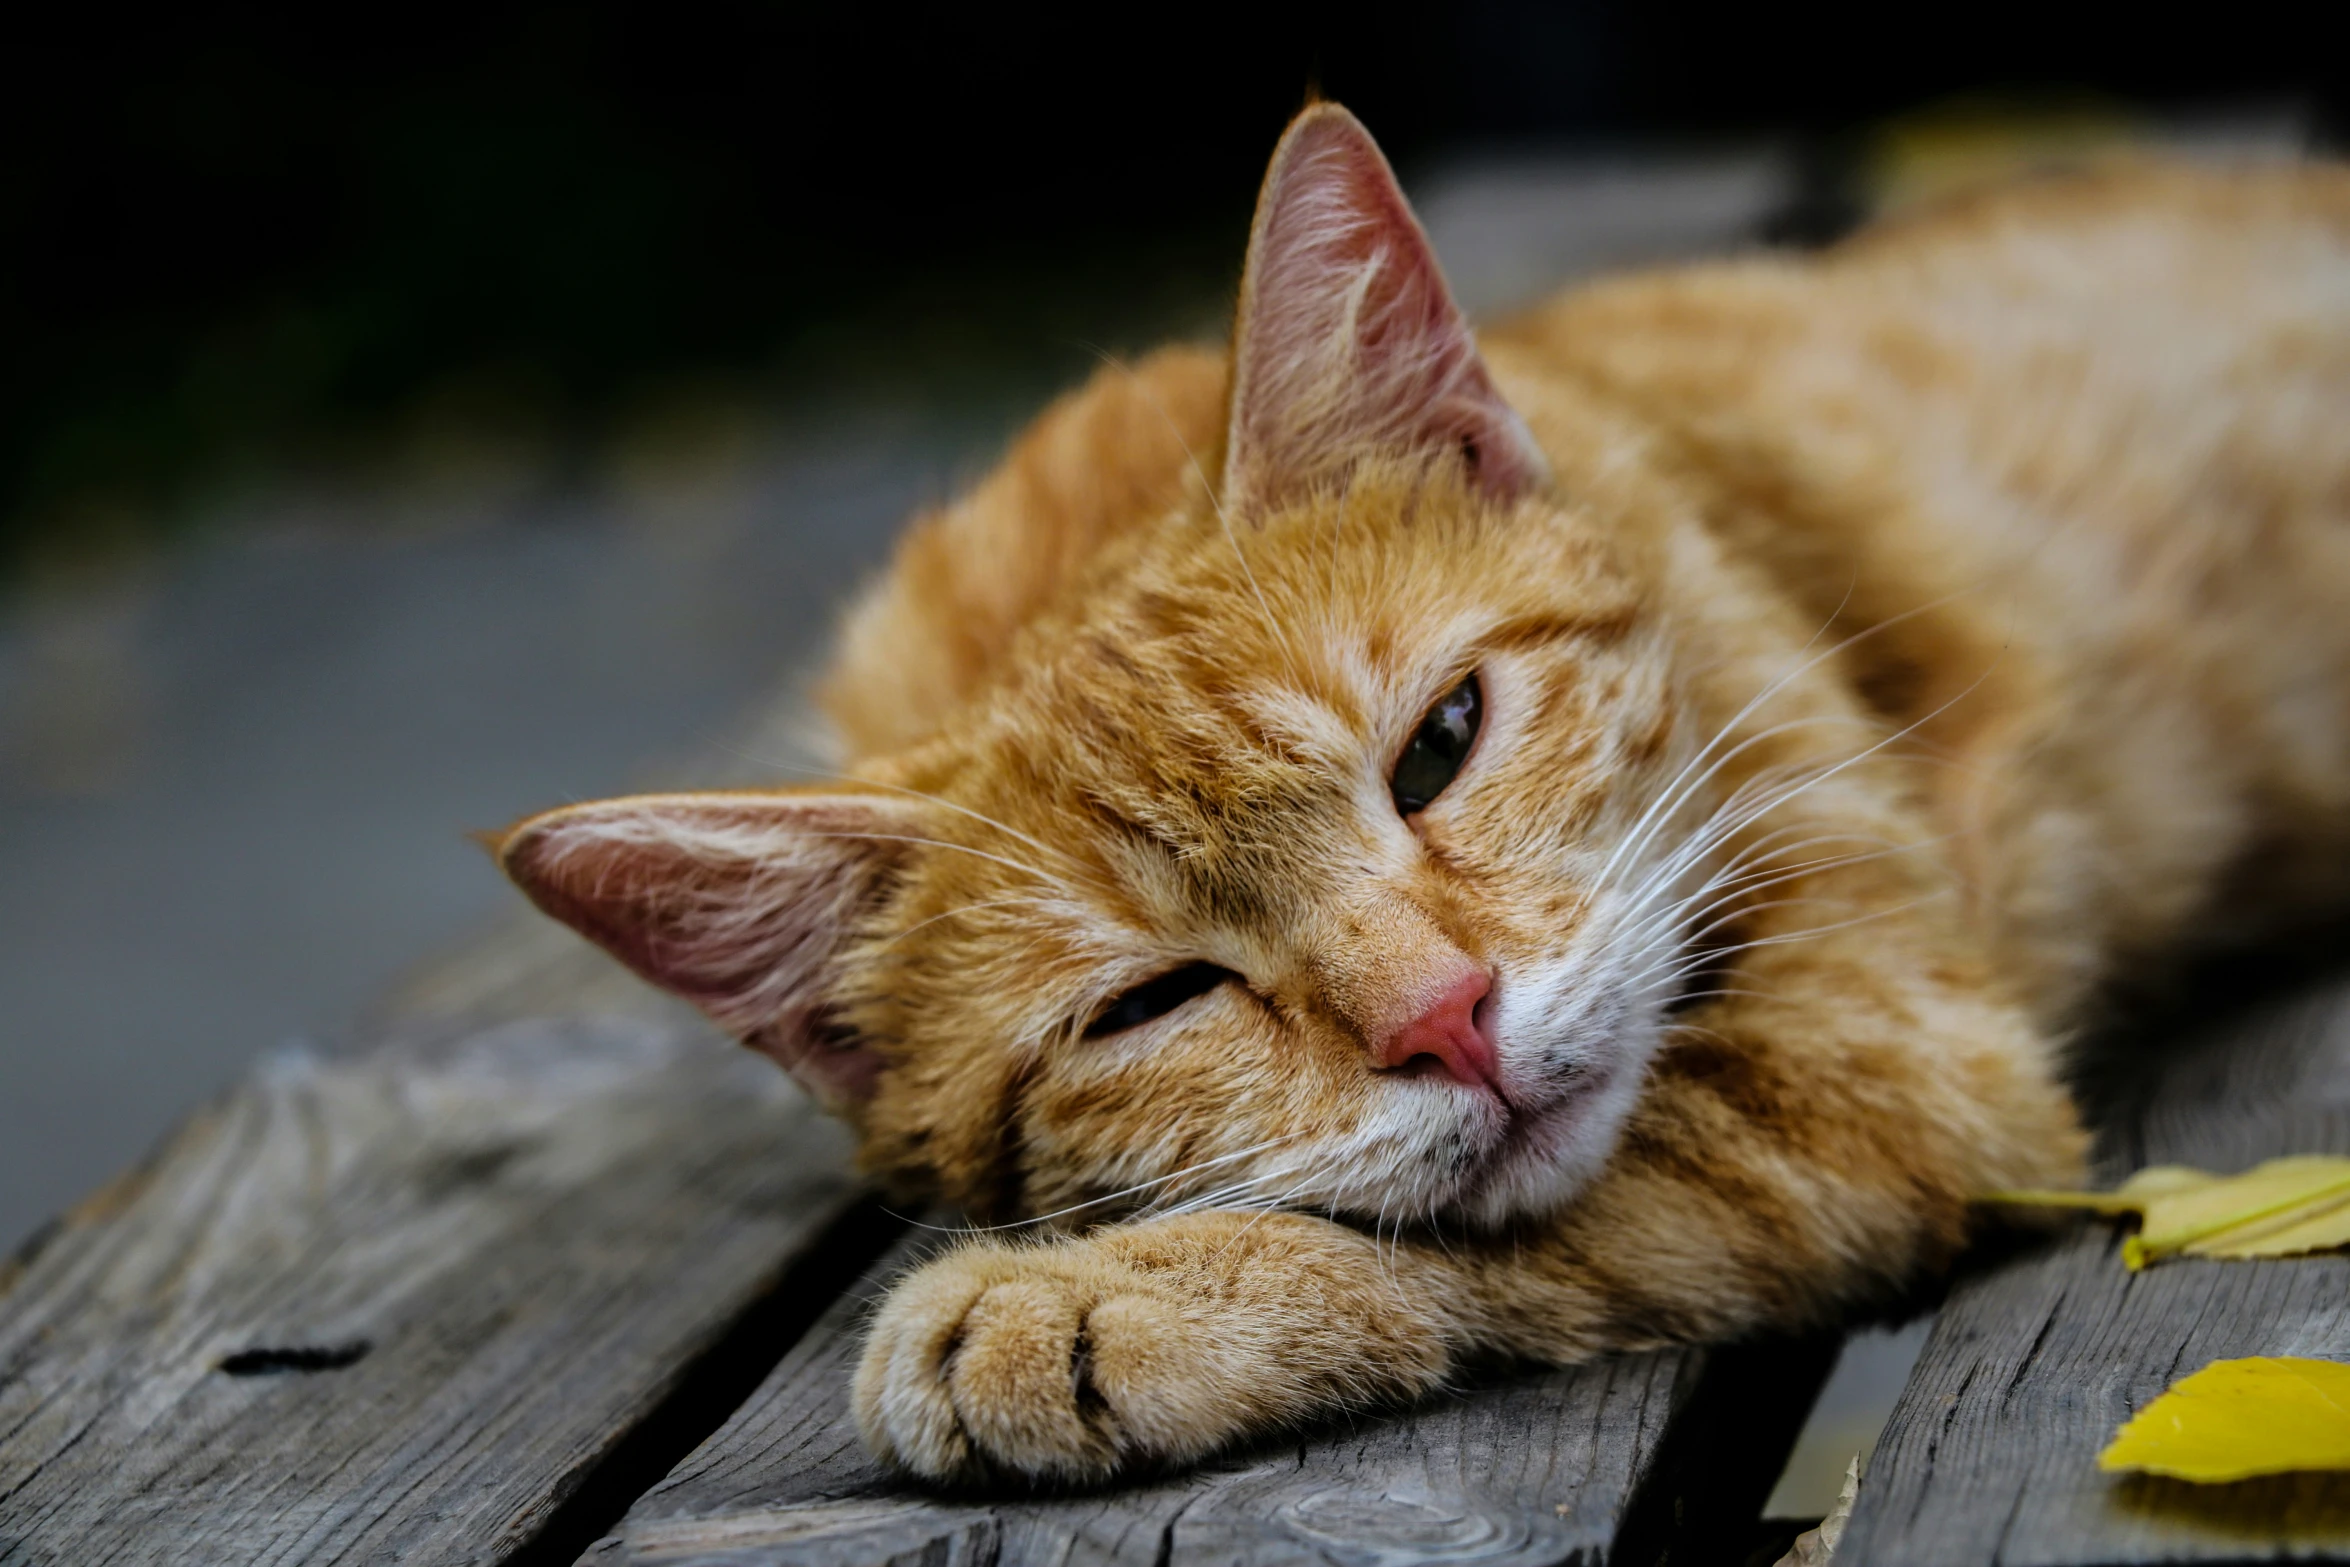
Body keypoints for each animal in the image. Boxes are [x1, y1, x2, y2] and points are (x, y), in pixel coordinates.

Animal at [491, 101, 2350, 1484]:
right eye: (1150, 1000)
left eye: (1439, 743)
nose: (1446, 1016)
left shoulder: (1894, 1063)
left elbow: (1541, 1200)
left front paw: (1103, 1300)